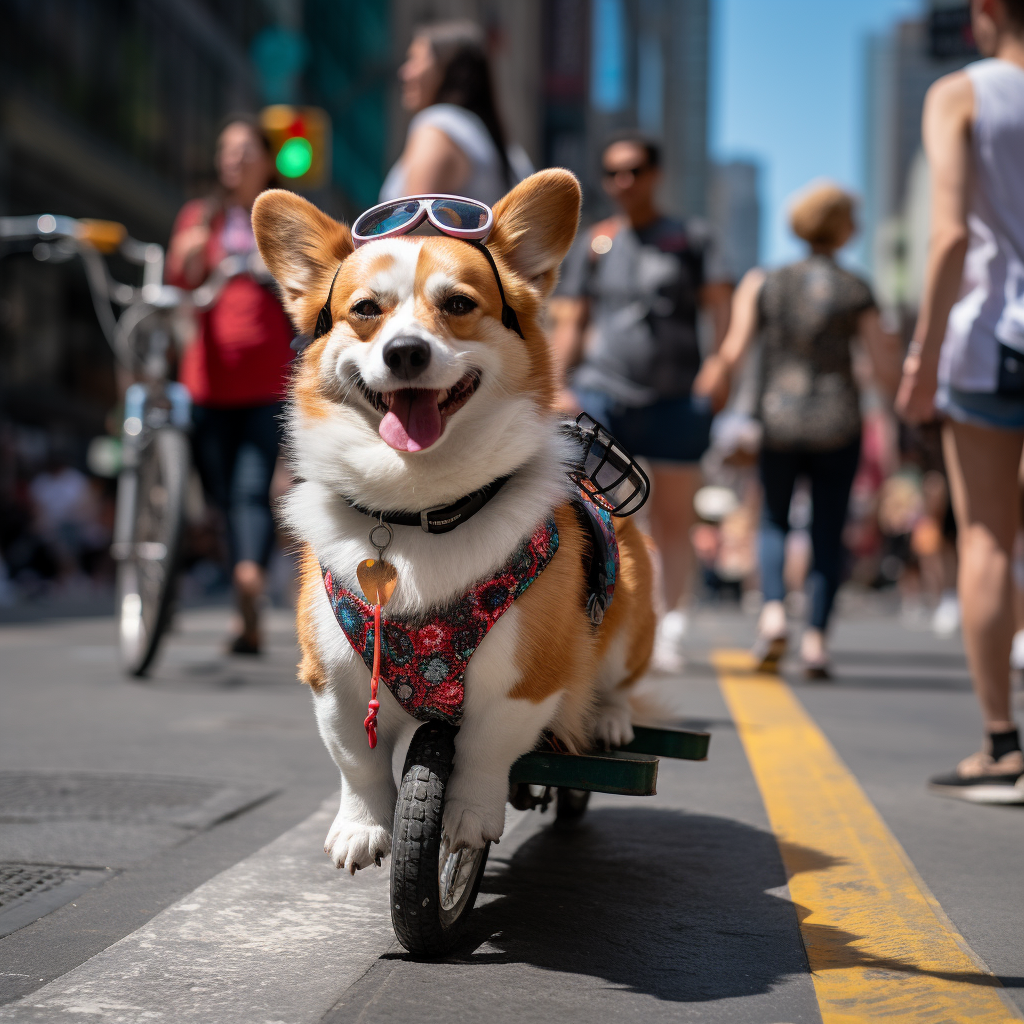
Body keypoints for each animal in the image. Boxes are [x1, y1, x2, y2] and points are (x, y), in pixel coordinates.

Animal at [256, 167, 655, 872]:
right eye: (367, 310)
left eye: (460, 304)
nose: (406, 353)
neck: (418, 510)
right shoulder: (333, 685)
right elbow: (356, 761)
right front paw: (362, 827)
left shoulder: (524, 684)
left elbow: (483, 754)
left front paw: (464, 824)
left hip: (631, 620)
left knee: (613, 683)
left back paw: (607, 719)